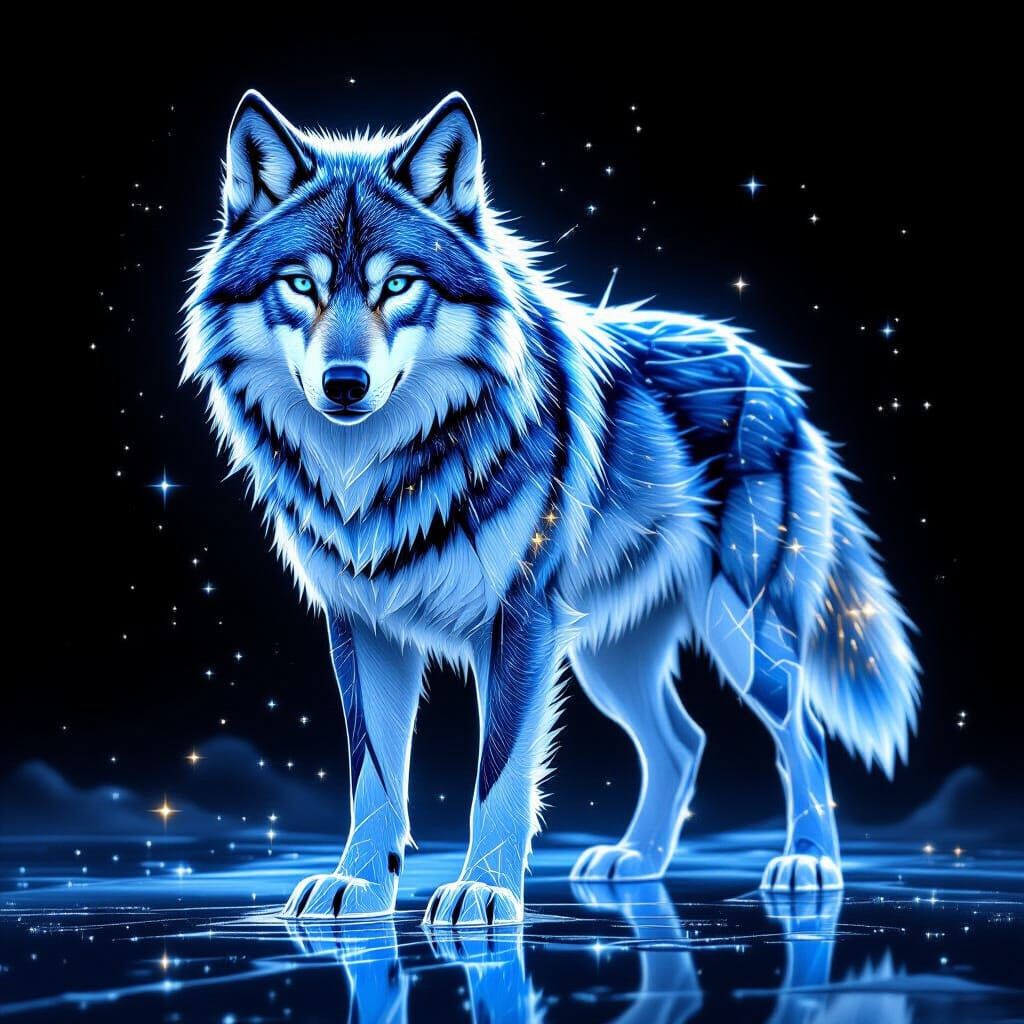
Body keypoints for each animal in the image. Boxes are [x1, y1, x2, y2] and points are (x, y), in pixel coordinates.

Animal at [183, 90, 919, 926]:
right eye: (301, 286)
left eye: (398, 285)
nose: (344, 384)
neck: (386, 470)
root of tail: (770, 370)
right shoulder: (365, 627)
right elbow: (372, 776)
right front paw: (362, 886)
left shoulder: (523, 621)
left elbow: (499, 774)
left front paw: (484, 894)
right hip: (609, 658)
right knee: (684, 742)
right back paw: (637, 861)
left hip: (741, 631)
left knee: (804, 729)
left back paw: (809, 864)